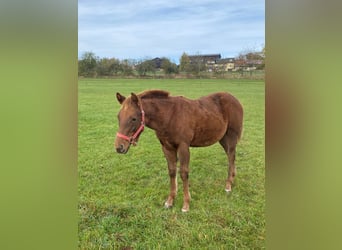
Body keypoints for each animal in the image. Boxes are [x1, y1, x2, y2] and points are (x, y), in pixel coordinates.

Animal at [115, 89, 243, 211]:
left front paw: (186, 204)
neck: (169, 116)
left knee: (231, 157)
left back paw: (228, 185)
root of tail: (235, 100)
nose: (119, 147)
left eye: (133, 118)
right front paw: (170, 201)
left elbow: (183, 173)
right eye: (118, 117)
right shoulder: (167, 147)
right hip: (222, 138)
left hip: (231, 136)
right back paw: (232, 179)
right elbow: (172, 172)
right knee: (230, 156)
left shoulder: (183, 146)